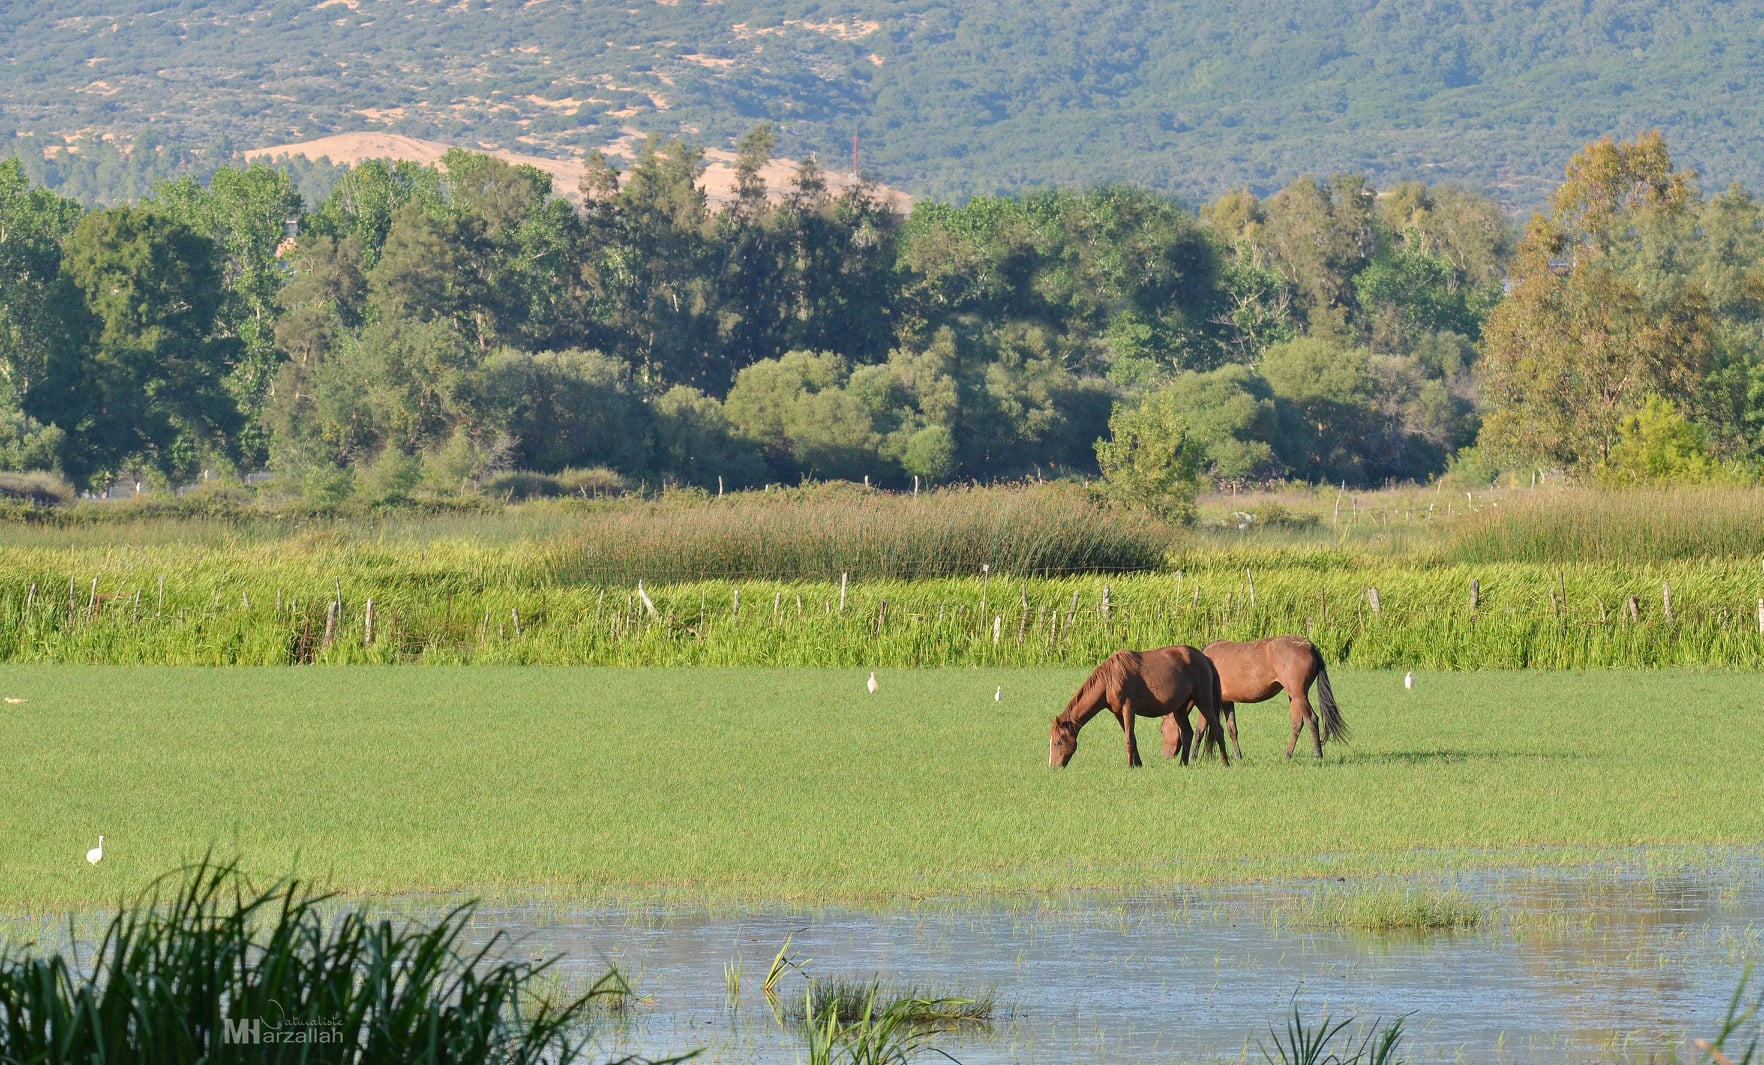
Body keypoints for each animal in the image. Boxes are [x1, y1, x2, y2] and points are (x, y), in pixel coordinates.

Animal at [1044, 645, 1227, 768]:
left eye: (1058, 741)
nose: (1053, 767)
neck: (1109, 680)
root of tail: (1204, 659)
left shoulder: (1128, 709)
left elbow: (1128, 739)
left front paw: (1130, 766)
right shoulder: (1118, 713)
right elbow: (1131, 737)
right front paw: (1137, 764)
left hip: (1204, 701)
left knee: (1217, 729)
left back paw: (1226, 763)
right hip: (1180, 708)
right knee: (1187, 733)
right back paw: (1183, 763)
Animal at [1199, 631, 1347, 758]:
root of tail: (1310, 646)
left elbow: (1200, 729)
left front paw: (1194, 756)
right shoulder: (1227, 701)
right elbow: (1232, 729)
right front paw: (1237, 755)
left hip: (1299, 696)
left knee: (1311, 719)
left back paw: (1317, 753)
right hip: (1294, 697)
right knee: (1297, 724)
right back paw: (1288, 754)